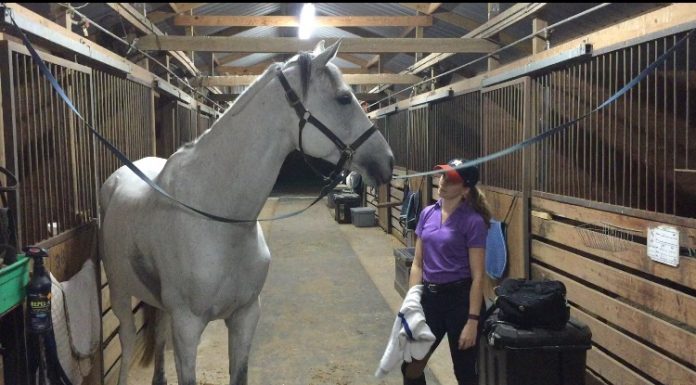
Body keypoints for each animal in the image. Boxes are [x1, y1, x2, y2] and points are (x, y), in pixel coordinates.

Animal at [98, 41, 394, 384]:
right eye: (344, 98)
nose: (387, 160)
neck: (219, 219)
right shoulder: (187, 327)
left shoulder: (246, 316)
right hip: (119, 293)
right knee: (128, 340)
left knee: (157, 332)